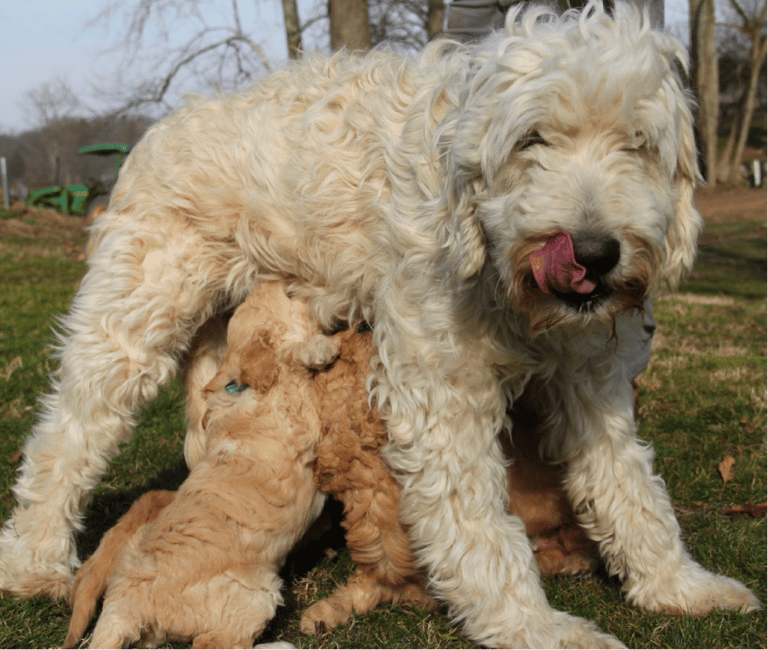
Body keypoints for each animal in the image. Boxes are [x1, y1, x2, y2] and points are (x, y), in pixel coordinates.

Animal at [0, 2, 760, 644]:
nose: (596, 252)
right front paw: (532, 627)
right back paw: (35, 560)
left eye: (638, 144)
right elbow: (476, 523)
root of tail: (163, 124)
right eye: (532, 140)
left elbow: (629, 487)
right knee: (65, 437)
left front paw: (677, 584)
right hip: (130, 323)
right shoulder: (441, 388)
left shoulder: (590, 378)